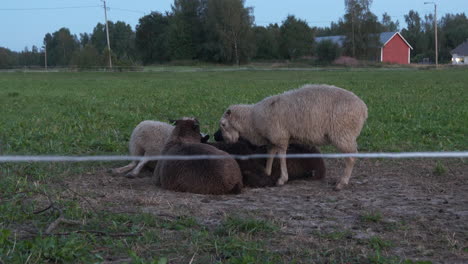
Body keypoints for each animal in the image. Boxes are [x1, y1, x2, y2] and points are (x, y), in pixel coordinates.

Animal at [219, 84, 370, 190]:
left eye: (223, 124)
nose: (227, 141)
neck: (252, 119)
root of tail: (364, 108)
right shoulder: (272, 139)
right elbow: (270, 155)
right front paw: (267, 173)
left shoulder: (280, 136)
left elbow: (281, 157)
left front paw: (282, 179)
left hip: (343, 134)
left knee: (351, 158)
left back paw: (341, 183)